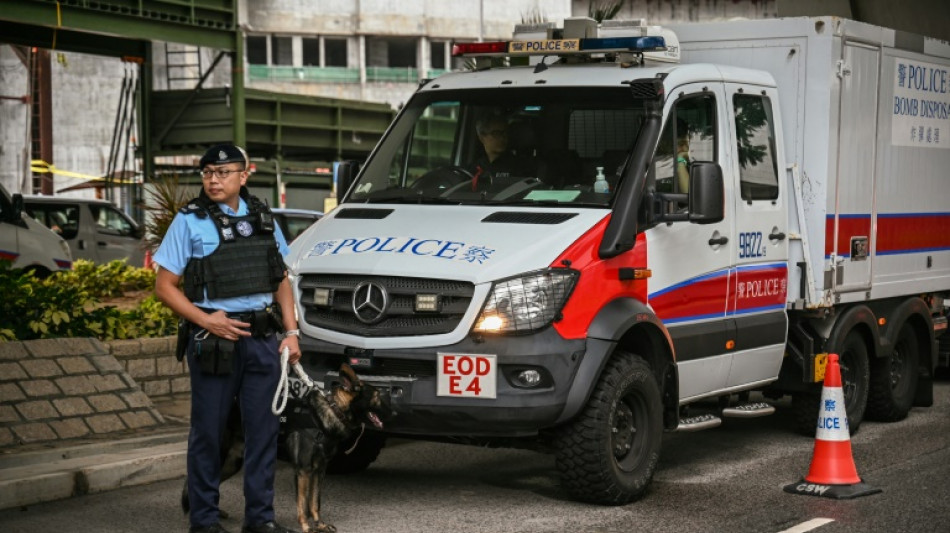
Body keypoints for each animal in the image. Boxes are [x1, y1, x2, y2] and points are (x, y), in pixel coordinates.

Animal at [180, 362, 392, 532]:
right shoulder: (303, 471)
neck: (331, 410)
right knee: (196, 479)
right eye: (376, 396)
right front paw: (306, 526)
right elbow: (303, 503)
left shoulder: (319, 471)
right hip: (220, 456)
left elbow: (315, 502)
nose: (393, 412)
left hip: (233, 463)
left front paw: (320, 524)